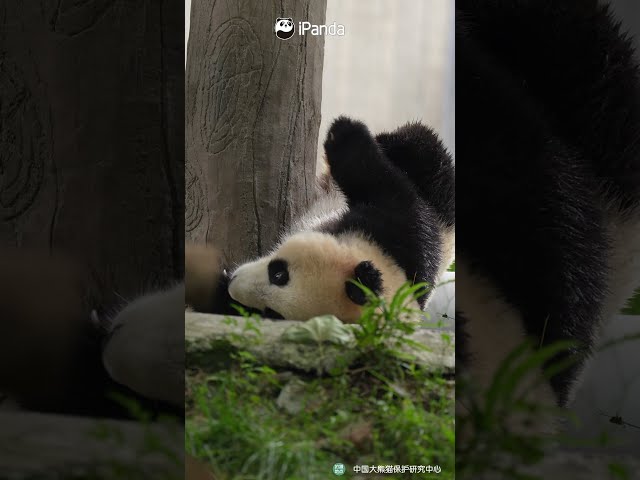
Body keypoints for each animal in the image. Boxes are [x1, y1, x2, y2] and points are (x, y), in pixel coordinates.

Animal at [186, 116, 455, 324]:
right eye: (278, 274)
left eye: (271, 313)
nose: (234, 283)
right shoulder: (400, 236)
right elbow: (386, 190)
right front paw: (343, 131)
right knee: (421, 150)